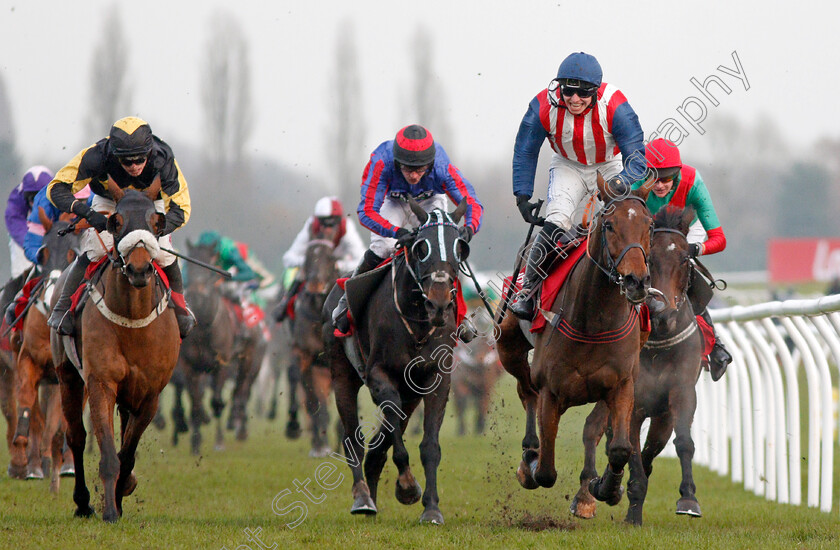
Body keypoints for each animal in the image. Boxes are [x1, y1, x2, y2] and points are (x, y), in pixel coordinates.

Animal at [51, 182, 180, 528]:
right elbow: (109, 453)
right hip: (68, 377)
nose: (138, 269)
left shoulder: (150, 395)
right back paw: (83, 503)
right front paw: (109, 510)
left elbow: (128, 451)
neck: (133, 319)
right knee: (76, 437)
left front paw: (124, 490)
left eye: (156, 222)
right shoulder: (101, 383)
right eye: (116, 221)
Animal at [326, 198, 472, 528]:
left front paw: (431, 508)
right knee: (353, 438)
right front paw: (406, 486)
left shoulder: (434, 379)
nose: (439, 303)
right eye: (420, 247)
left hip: (411, 392)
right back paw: (363, 498)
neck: (416, 322)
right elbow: (391, 430)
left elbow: (429, 445)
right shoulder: (378, 375)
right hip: (342, 375)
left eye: (460, 247)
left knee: (378, 445)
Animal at [496, 175, 652, 516]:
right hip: (509, 347)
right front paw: (532, 463)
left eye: (649, 224)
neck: (593, 321)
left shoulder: (621, 383)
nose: (636, 281)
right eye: (609, 225)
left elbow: (618, 447)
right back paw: (528, 454)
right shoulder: (551, 390)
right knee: (526, 391)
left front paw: (604, 487)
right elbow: (546, 471)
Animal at [572, 206, 704, 528]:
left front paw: (688, 498)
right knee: (592, 429)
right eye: (651, 257)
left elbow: (680, 443)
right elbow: (628, 451)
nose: (663, 312)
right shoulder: (632, 400)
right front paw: (631, 512)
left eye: (685, 259)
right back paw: (587, 495)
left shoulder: (679, 395)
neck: (658, 346)